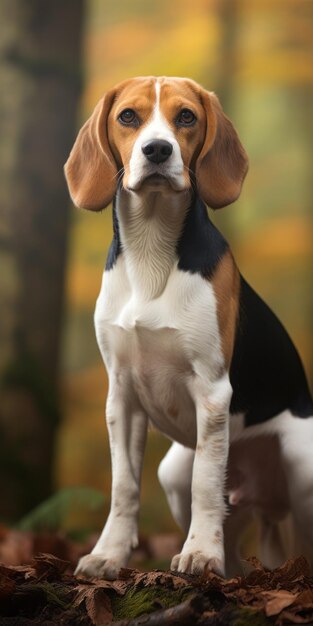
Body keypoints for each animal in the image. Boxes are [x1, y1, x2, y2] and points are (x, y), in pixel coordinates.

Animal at [64, 75, 312, 576]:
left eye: (186, 117)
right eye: (127, 116)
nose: (158, 150)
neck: (151, 249)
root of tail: (268, 498)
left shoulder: (213, 392)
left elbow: (206, 484)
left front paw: (198, 553)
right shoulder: (122, 395)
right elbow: (124, 486)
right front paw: (108, 554)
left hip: (302, 466)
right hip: (173, 473)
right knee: (229, 541)